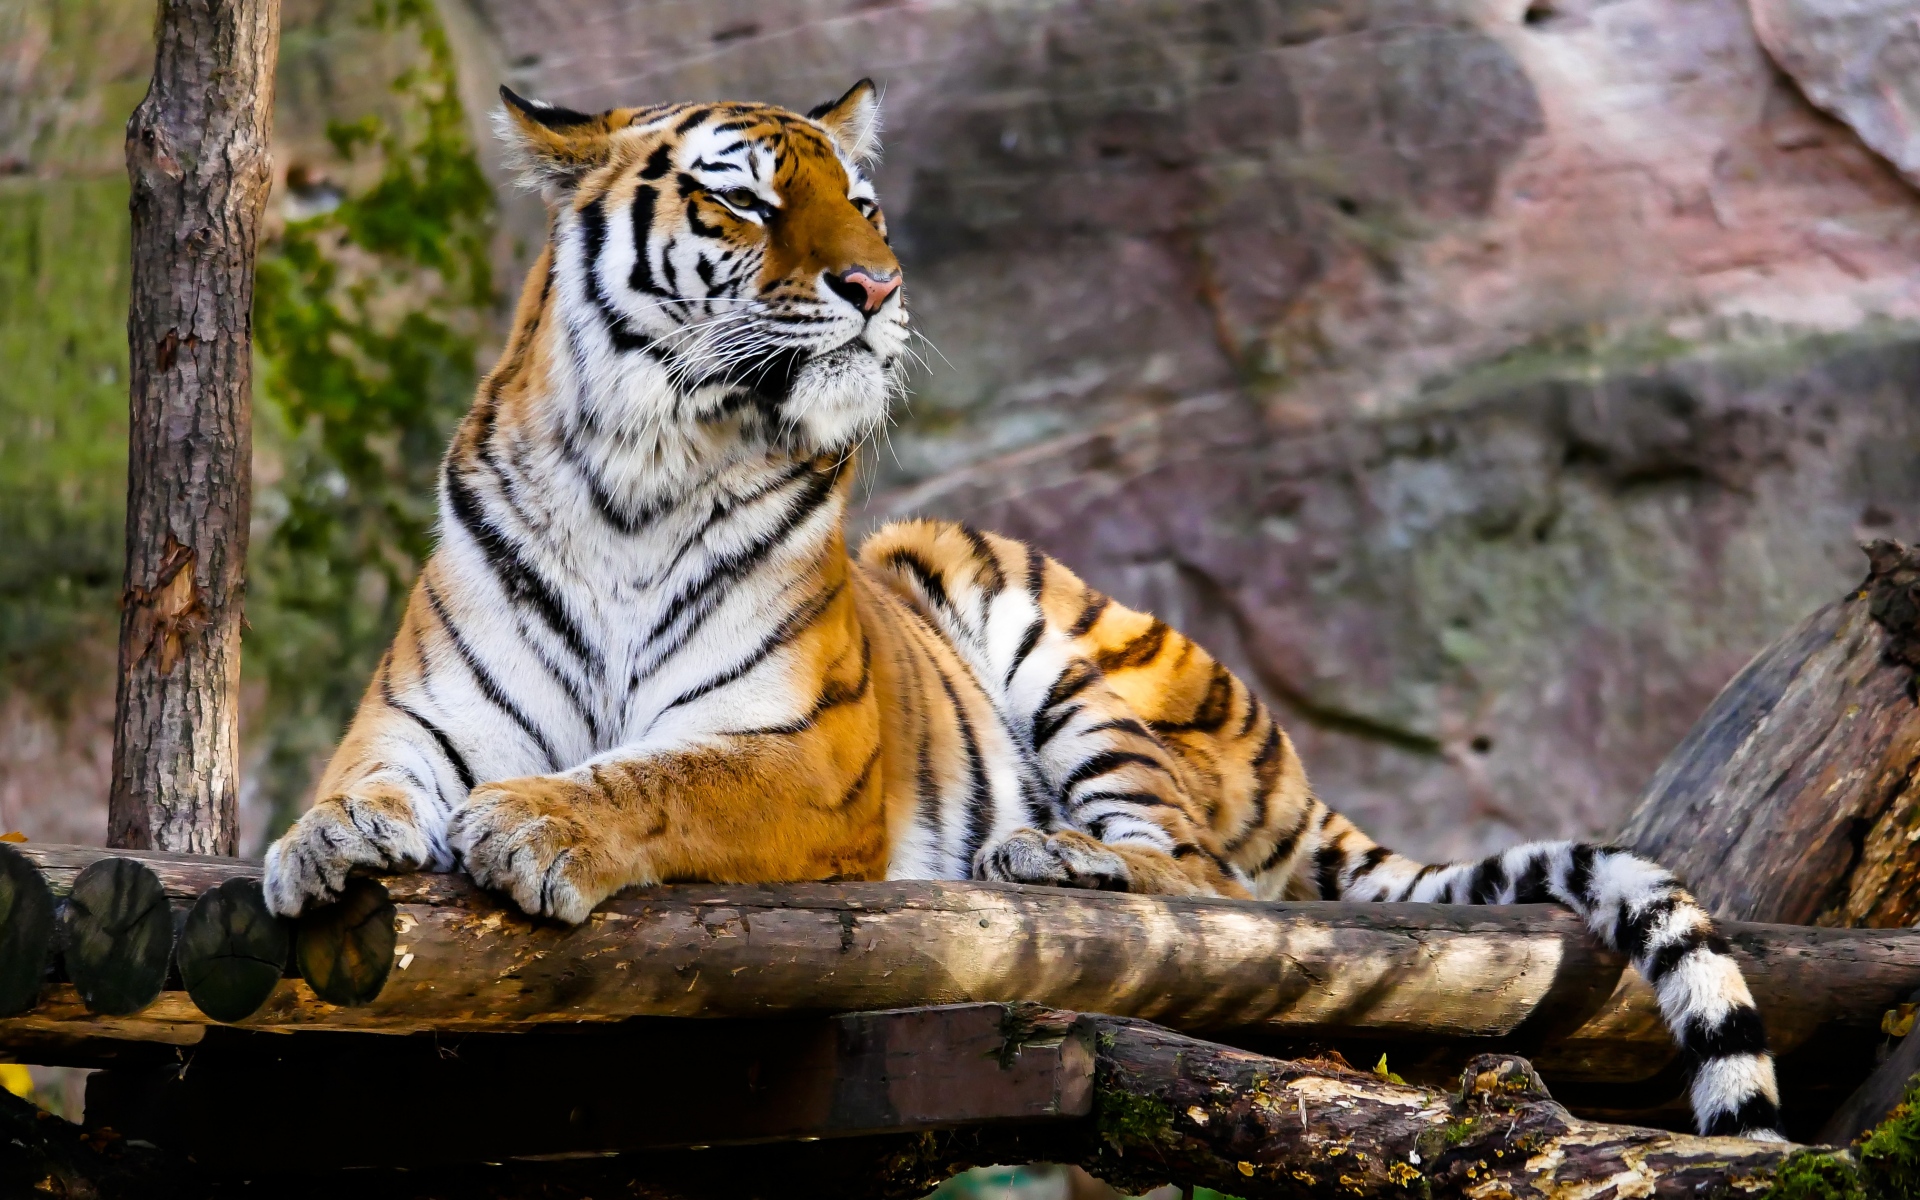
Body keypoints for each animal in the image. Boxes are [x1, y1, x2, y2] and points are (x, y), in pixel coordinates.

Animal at [261, 80, 1784, 1140]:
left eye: (865, 205)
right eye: (746, 203)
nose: (876, 286)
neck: (638, 473)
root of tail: (1294, 766)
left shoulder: (804, 757)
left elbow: (657, 779)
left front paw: (535, 826)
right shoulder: (420, 715)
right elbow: (361, 782)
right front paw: (318, 847)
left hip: (1049, 635)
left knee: (1211, 884)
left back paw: (1052, 859)